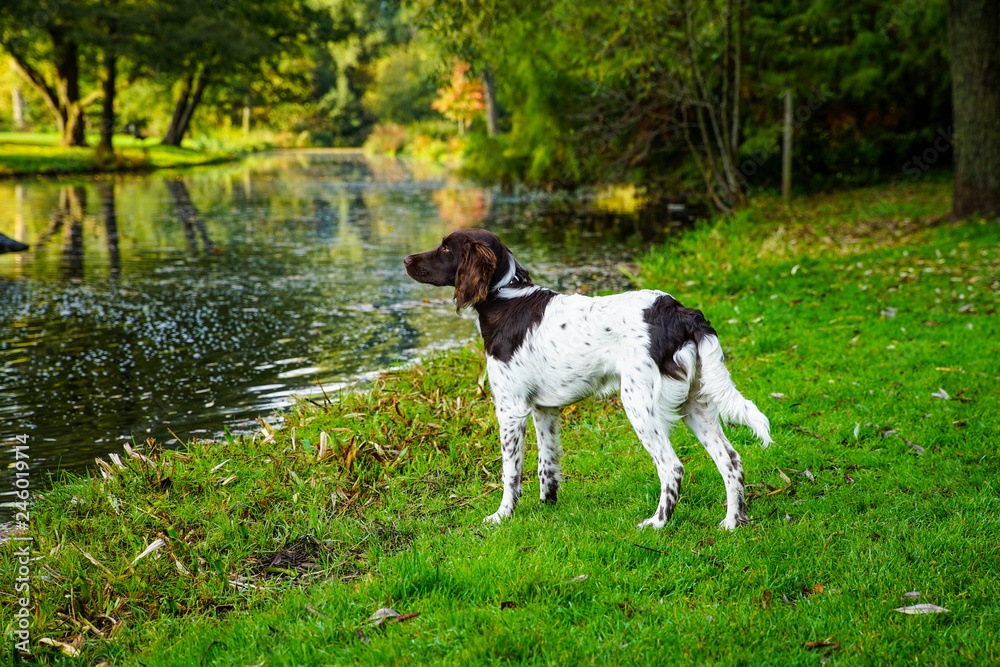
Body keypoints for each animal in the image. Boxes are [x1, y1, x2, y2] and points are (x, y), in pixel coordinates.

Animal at [402, 231, 768, 532]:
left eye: (445, 248)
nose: (405, 260)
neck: (505, 297)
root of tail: (681, 312)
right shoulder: (544, 409)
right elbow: (546, 465)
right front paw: (545, 507)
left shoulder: (511, 408)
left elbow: (511, 472)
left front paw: (502, 515)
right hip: (694, 403)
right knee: (731, 460)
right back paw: (732, 522)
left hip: (639, 404)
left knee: (672, 467)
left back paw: (657, 523)